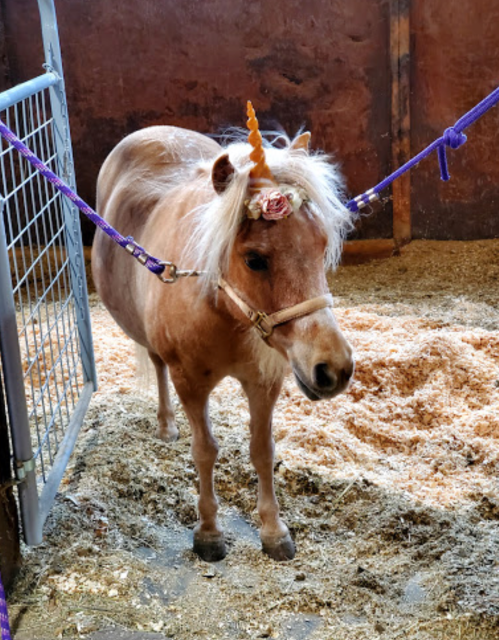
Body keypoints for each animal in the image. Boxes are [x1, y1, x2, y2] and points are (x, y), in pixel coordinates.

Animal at [91, 103, 355, 562]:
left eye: (323, 246)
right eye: (254, 259)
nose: (333, 368)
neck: (223, 313)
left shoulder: (265, 380)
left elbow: (262, 450)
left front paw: (273, 531)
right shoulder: (190, 383)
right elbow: (205, 451)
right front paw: (210, 532)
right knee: (156, 366)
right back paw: (166, 425)